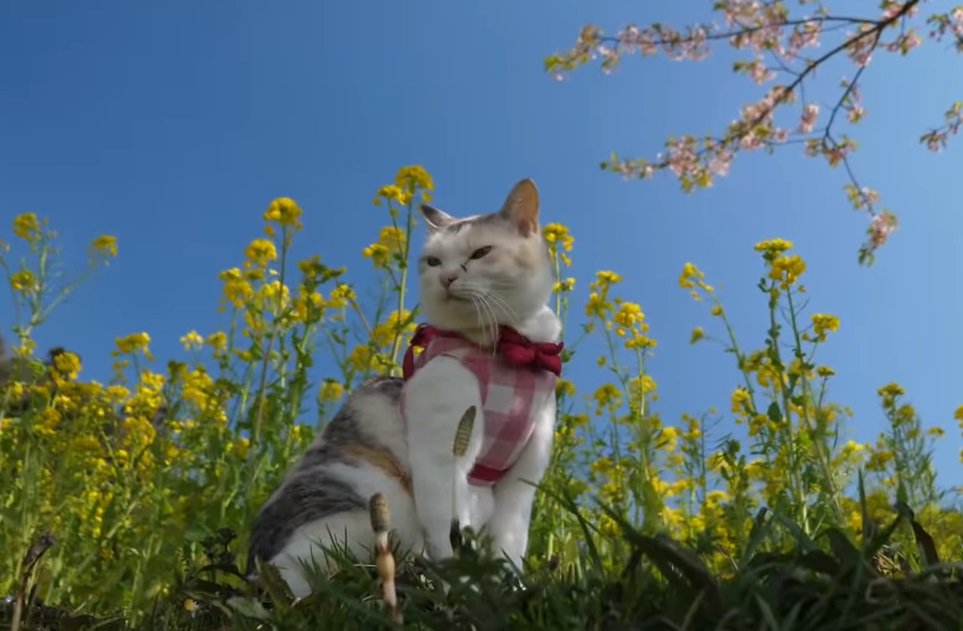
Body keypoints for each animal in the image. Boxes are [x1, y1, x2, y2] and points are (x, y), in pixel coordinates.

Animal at [249, 179, 560, 596]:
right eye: (433, 262)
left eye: (481, 252)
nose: (447, 278)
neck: (513, 346)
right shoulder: (444, 452)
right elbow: (447, 534)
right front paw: (463, 591)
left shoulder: (524, 473)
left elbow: (511, 545)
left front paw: (507, 590)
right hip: (367, 517)